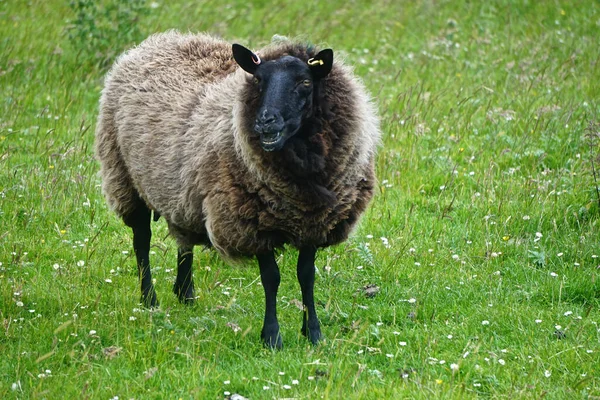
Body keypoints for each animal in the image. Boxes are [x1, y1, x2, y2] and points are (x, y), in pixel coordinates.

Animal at [96, 31, 382, 348]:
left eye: (305, 82)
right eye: (258, 80)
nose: (265, 121)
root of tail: (159, 41)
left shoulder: (315, 221)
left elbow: (307, 276)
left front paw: (313, 333)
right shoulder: (253, 223)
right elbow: (272, 278)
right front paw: (272, 336)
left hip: (179, 189)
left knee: (183, 238)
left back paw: (185, 293)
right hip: (124, 179)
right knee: (142, 242)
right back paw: (149, 299)